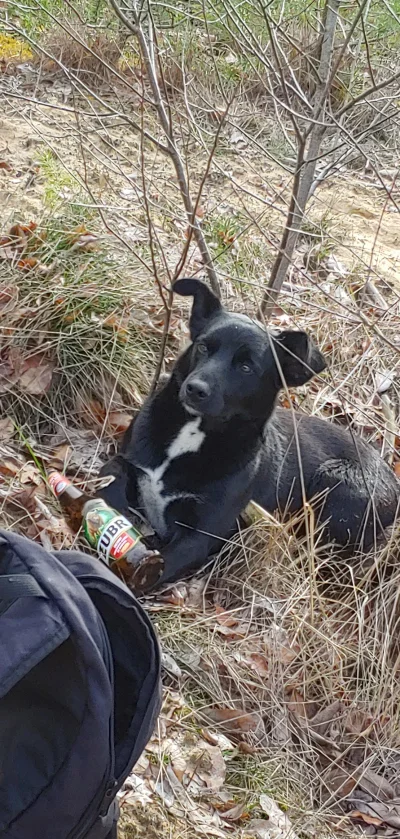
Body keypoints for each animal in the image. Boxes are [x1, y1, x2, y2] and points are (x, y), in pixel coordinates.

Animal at [101, 278, 400, 588]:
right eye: (203, 347)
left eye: (246, 367)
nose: (194, 389)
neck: (192, 435)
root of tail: (389, 472)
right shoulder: (127, 462)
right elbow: (111, 480)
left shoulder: (198, 537)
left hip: (338, 487)